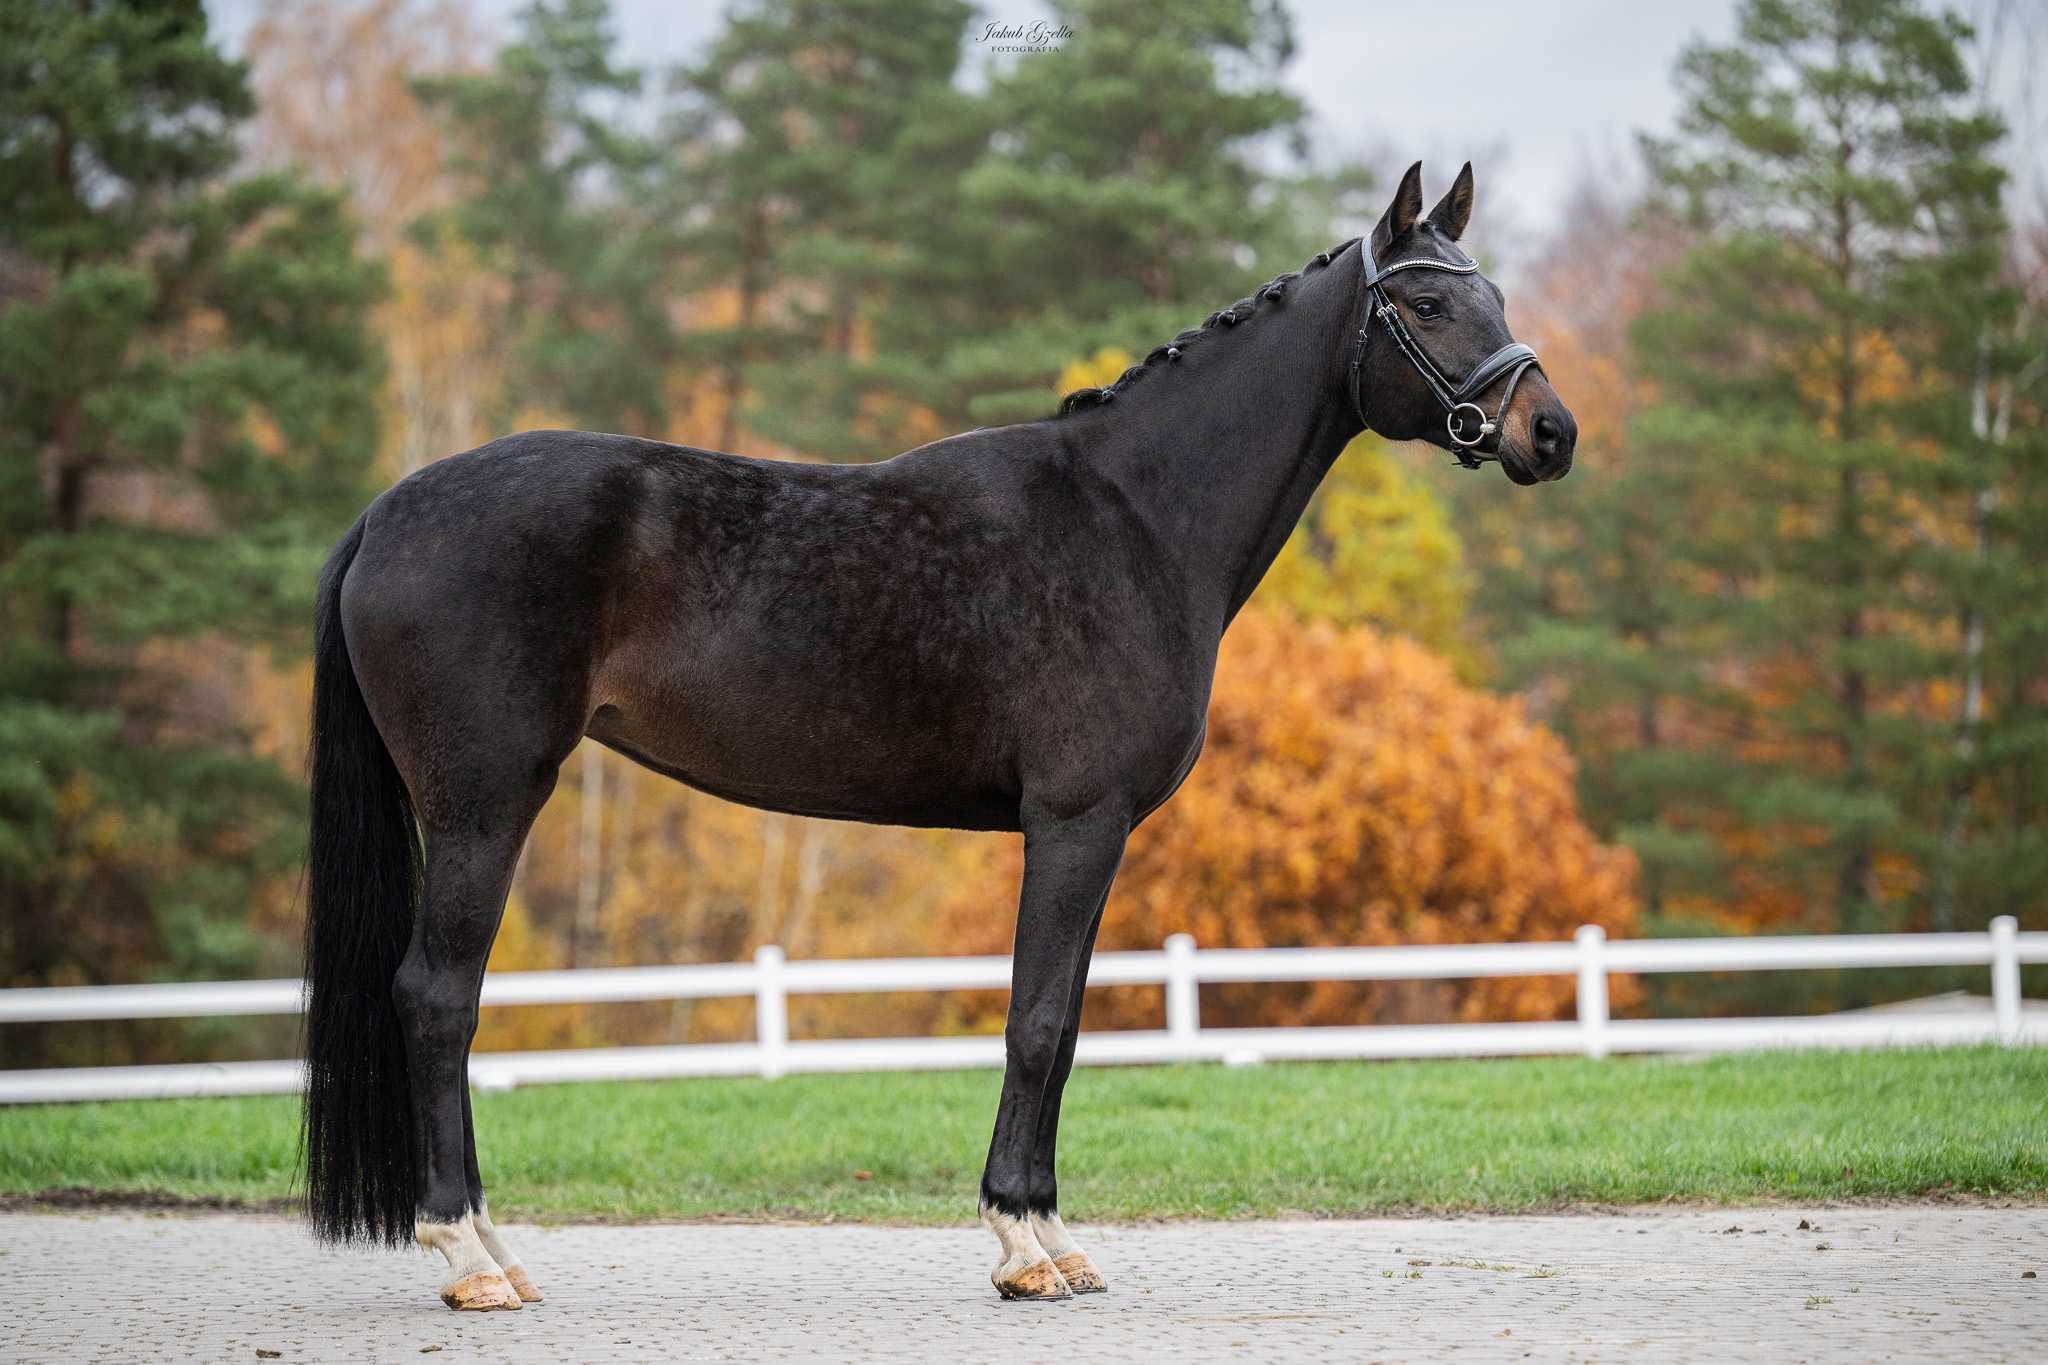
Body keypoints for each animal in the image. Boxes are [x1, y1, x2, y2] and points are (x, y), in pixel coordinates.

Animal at [302, 161, 1576, 1311]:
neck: (1132, 518)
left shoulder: (1092, 834)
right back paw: (471, 1257)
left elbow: (1062, 1024)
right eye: (1425, 304)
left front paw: (1051, 1237)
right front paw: (1022, 1243)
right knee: (438, 996)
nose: (1549, 432)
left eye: (1495, 295)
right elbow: (1037, 1020)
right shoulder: (1073, 823)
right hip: (486, 797)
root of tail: (385, 513)